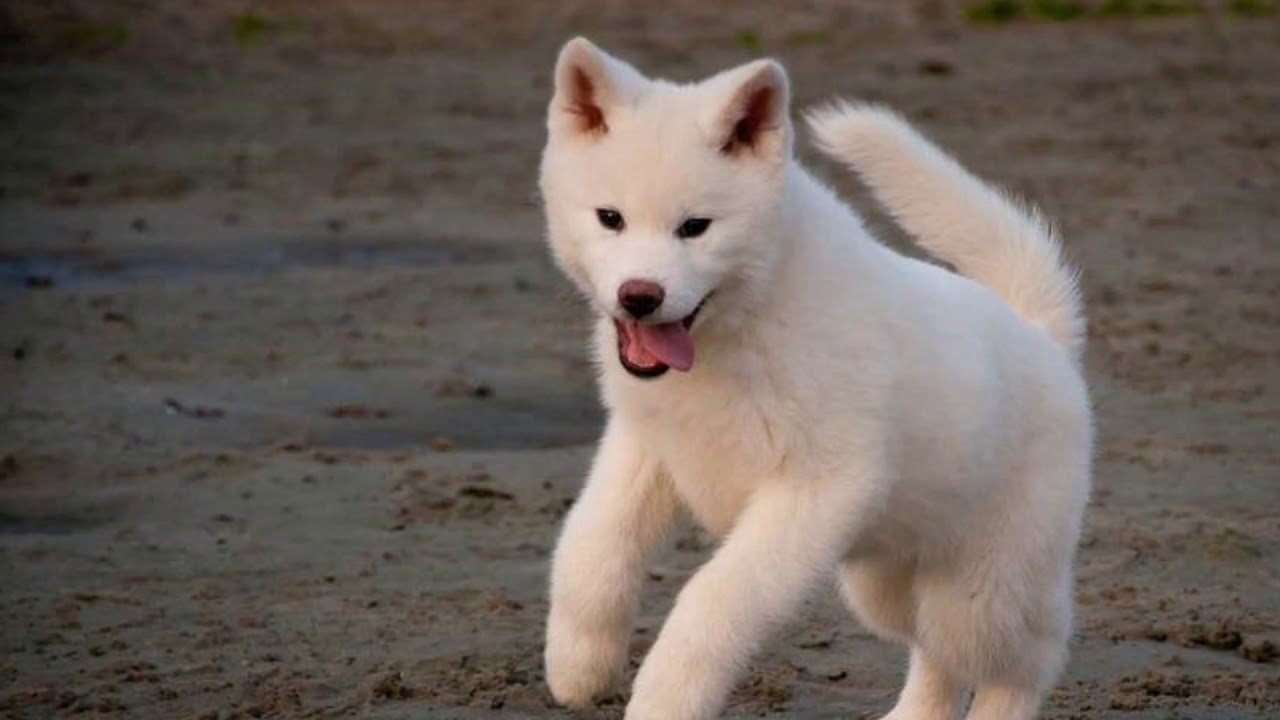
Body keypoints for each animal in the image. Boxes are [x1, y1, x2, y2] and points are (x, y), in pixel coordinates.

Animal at [537, 37, 1090, 717]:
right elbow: (589, 547)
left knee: (1020, 664)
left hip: (981, 591)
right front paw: (578, 664)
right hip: (886, 578)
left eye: (695, 227)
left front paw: (664, 699)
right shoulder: (646, 448)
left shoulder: (815, 492)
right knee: (935, 655)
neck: (745, 322)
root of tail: (1043, 334)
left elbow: (711, 601)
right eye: (609, 218)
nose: (640, 297)